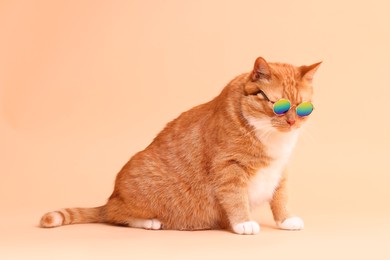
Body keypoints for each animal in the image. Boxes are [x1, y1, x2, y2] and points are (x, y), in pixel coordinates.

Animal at [40, 57, 320, 236]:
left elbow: (280, 198)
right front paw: (244, 223)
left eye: (303, 107)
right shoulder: (228, 169)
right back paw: (149, 222)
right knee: (116, 215)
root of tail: (111, 197)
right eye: (279, 106)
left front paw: (286, 220)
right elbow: (236, 198)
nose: (293, 122)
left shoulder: (280, 170)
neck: (272, 136)